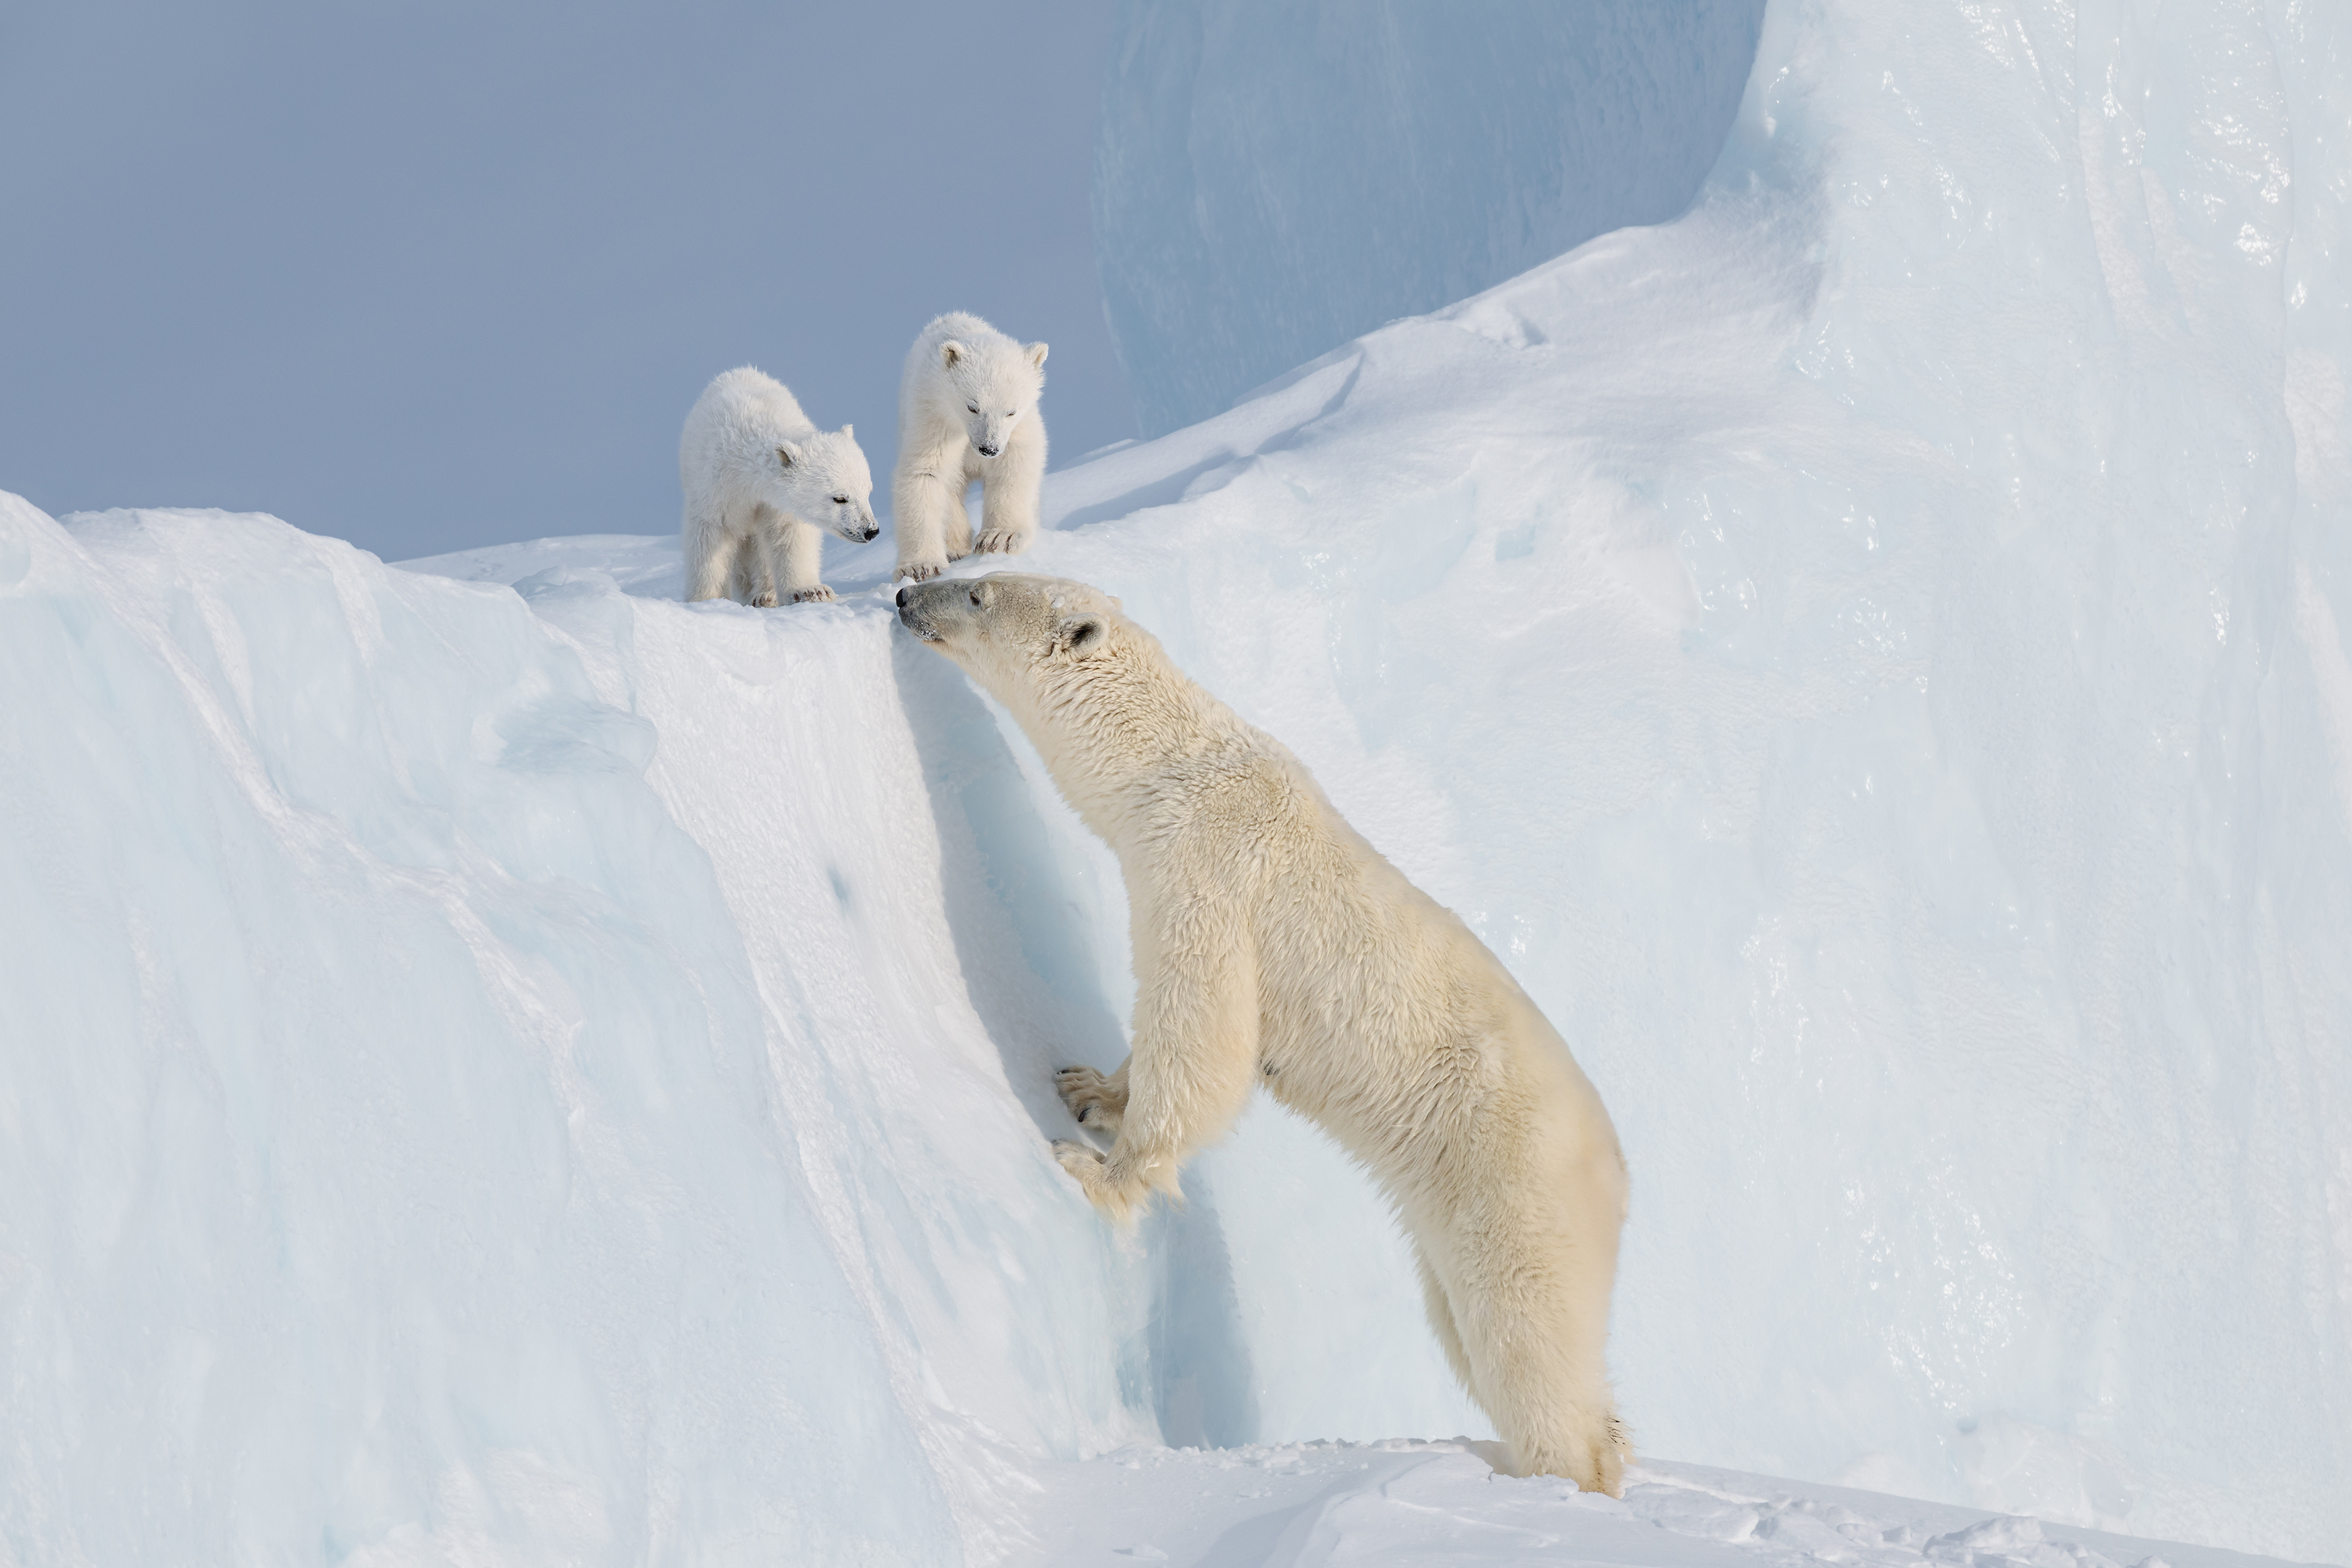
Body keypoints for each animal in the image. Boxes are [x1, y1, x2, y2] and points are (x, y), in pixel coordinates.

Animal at [679, 366, 878, 606]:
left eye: (868, 492)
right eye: (840, 498)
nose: (871, 530)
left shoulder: (779, 504)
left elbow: (789, 534)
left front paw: (811, 591)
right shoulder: (718, 486)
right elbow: (711, 534)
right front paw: (708, 599)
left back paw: (766, 594)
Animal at [891, 312, 1049, 583]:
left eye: (1011, 411)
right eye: (972, 407)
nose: (989, 449)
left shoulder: (1019, 426)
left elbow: (1015, 461)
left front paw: (1000, 537)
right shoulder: (934, 414)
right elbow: (925, 472)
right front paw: (920, 567)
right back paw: (956, 547)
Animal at [893, 571, 1633, 1496]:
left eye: (978, 593)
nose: (901, 597)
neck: (1179, 765)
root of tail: (1617, 1174)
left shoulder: (1206, 874)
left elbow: (1204, 1028)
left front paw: (1097, 1169)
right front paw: (1089, 1089)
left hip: (1510, 1190)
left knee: (1523, 1336)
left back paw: (1555, 1477)